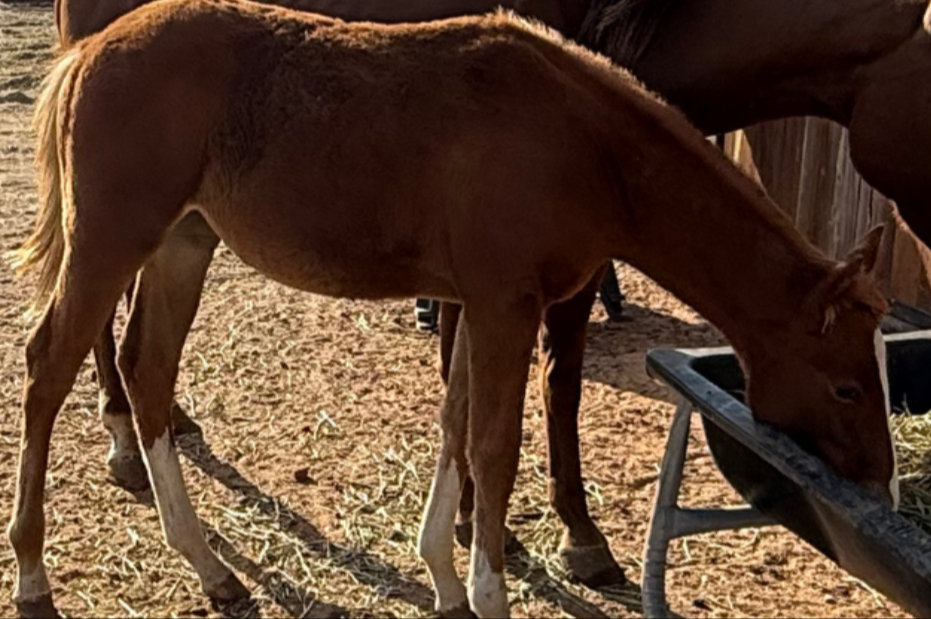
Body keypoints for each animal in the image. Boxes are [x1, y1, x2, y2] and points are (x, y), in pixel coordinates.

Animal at [9, 1, 895, 616]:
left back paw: (210, 568)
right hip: (111, 241)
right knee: (49, 366)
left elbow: (453, 425)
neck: (579, 140)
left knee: (148, 372)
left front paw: (442, 575)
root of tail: (89, 50)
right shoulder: (508, 304)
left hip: (182, 246)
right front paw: (488, 590)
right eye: (847, 386)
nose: (879, 486)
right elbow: (493, 449)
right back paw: (32, 573)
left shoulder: (476, 303)